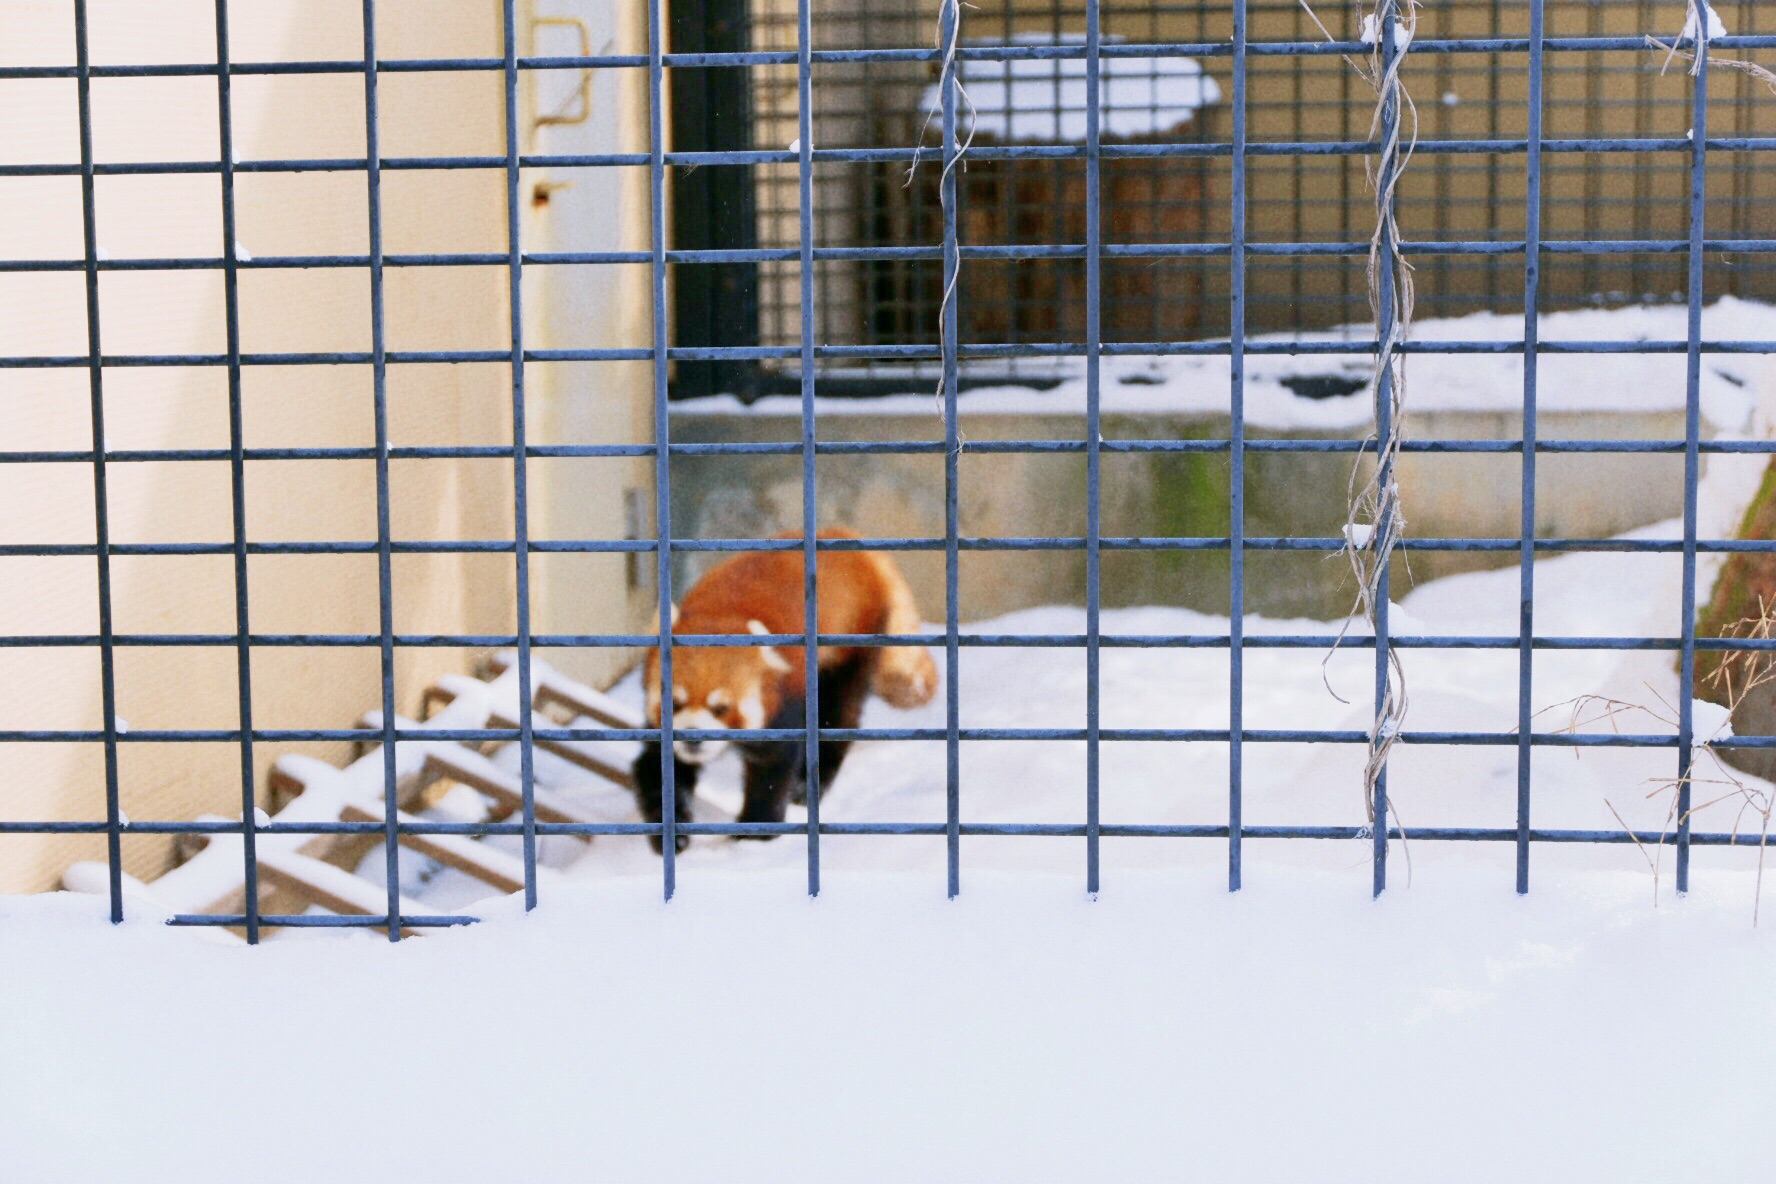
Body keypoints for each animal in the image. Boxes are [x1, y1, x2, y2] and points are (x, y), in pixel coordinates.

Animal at [628, 528, 937, 852]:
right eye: (675, 703)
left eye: (721, 708)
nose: (692, 738)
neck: (722, 614)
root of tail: (847, 537)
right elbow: (655, 768)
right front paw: (672, 833)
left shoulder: (784, 701)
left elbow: (773, 766)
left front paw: (755, 832)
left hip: (852, 641)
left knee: (839, 711)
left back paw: (810, 784)